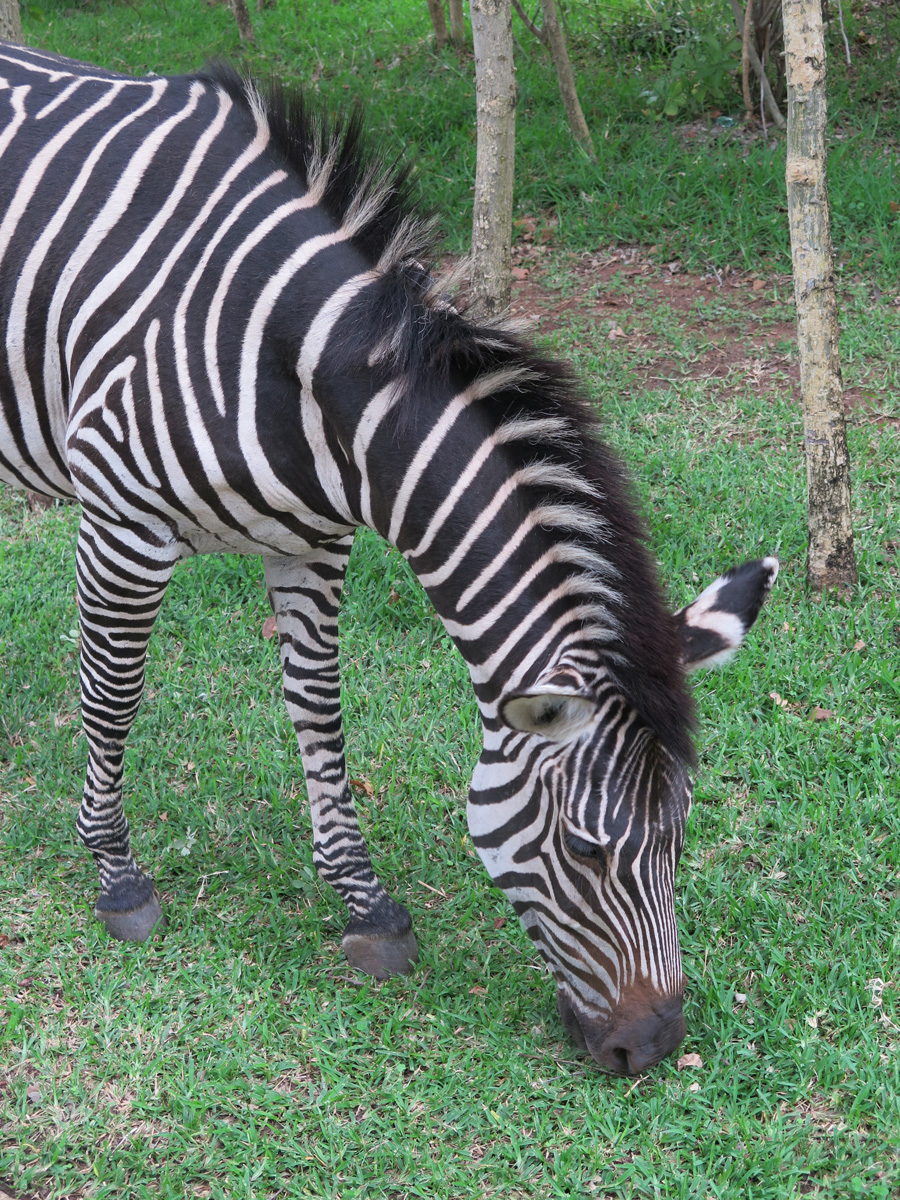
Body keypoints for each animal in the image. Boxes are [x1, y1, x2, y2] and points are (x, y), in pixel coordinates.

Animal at [0, 41, 777, 1075]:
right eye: (586, 851)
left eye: (680, 837)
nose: (653, 1048)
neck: (292, 363)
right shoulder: (123, 522)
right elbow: (114, 695)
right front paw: (117, 874)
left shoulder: (312, 543)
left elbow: (318, 711)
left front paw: (362, 903)